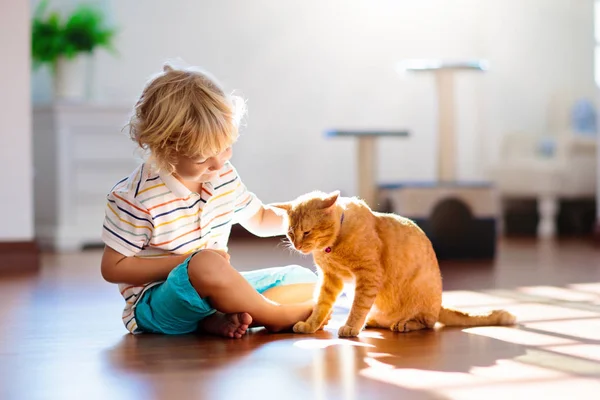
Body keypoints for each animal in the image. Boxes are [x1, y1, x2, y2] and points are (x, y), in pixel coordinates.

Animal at [274, 191, 516, 338]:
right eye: (290, 233)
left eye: (307, 232)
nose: (297, 245)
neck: (331, 248)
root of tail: (439, 304)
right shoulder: (330, 279)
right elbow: (321, 305)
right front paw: (311, 325)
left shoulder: (368, 276)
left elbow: (358, 306)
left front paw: (351, 326)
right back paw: (372, 321)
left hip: (421, 295)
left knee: (428, 323)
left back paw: (404, 324)